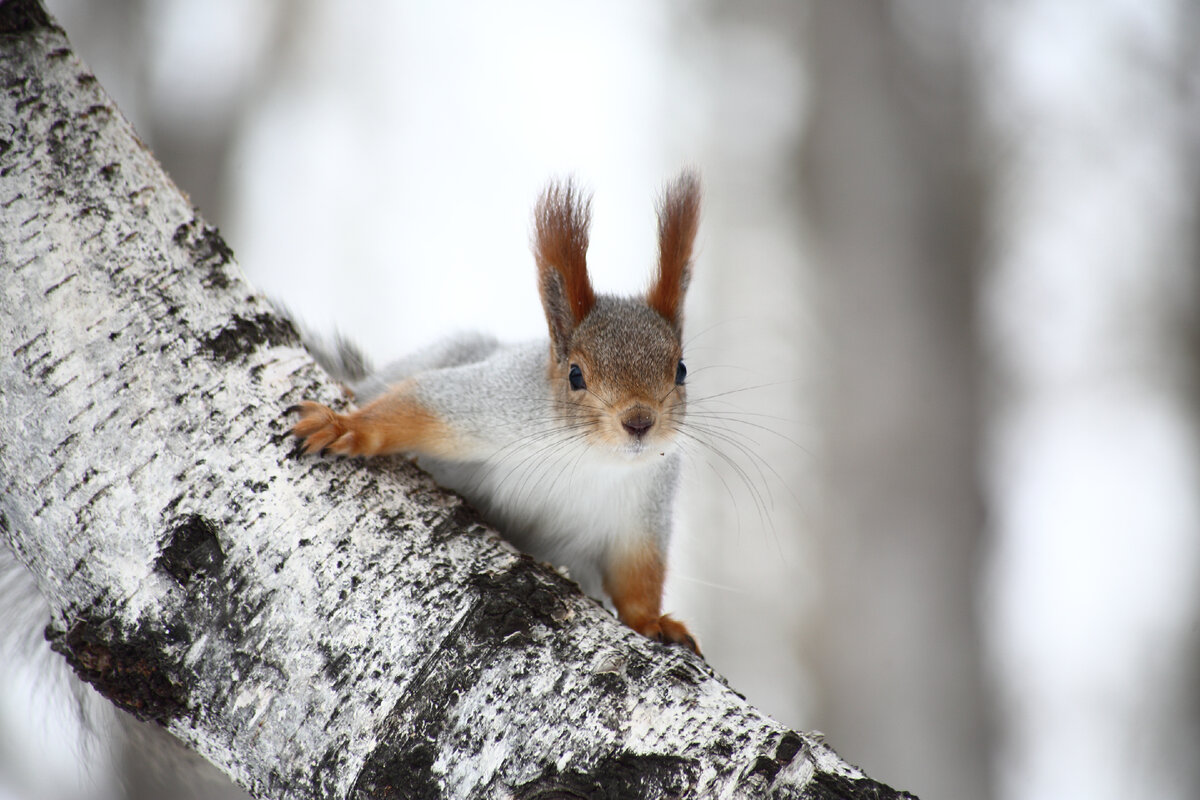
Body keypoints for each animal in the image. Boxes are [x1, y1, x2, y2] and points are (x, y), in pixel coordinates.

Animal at [291, 172, 700, 652]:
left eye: (681, 370)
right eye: (575, 375)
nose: (639, 422)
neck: (592, 458)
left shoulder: (646, 507)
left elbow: (638, 576)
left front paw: (653, 622)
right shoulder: (495, 404)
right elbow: (420, 402)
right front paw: (344, 427)